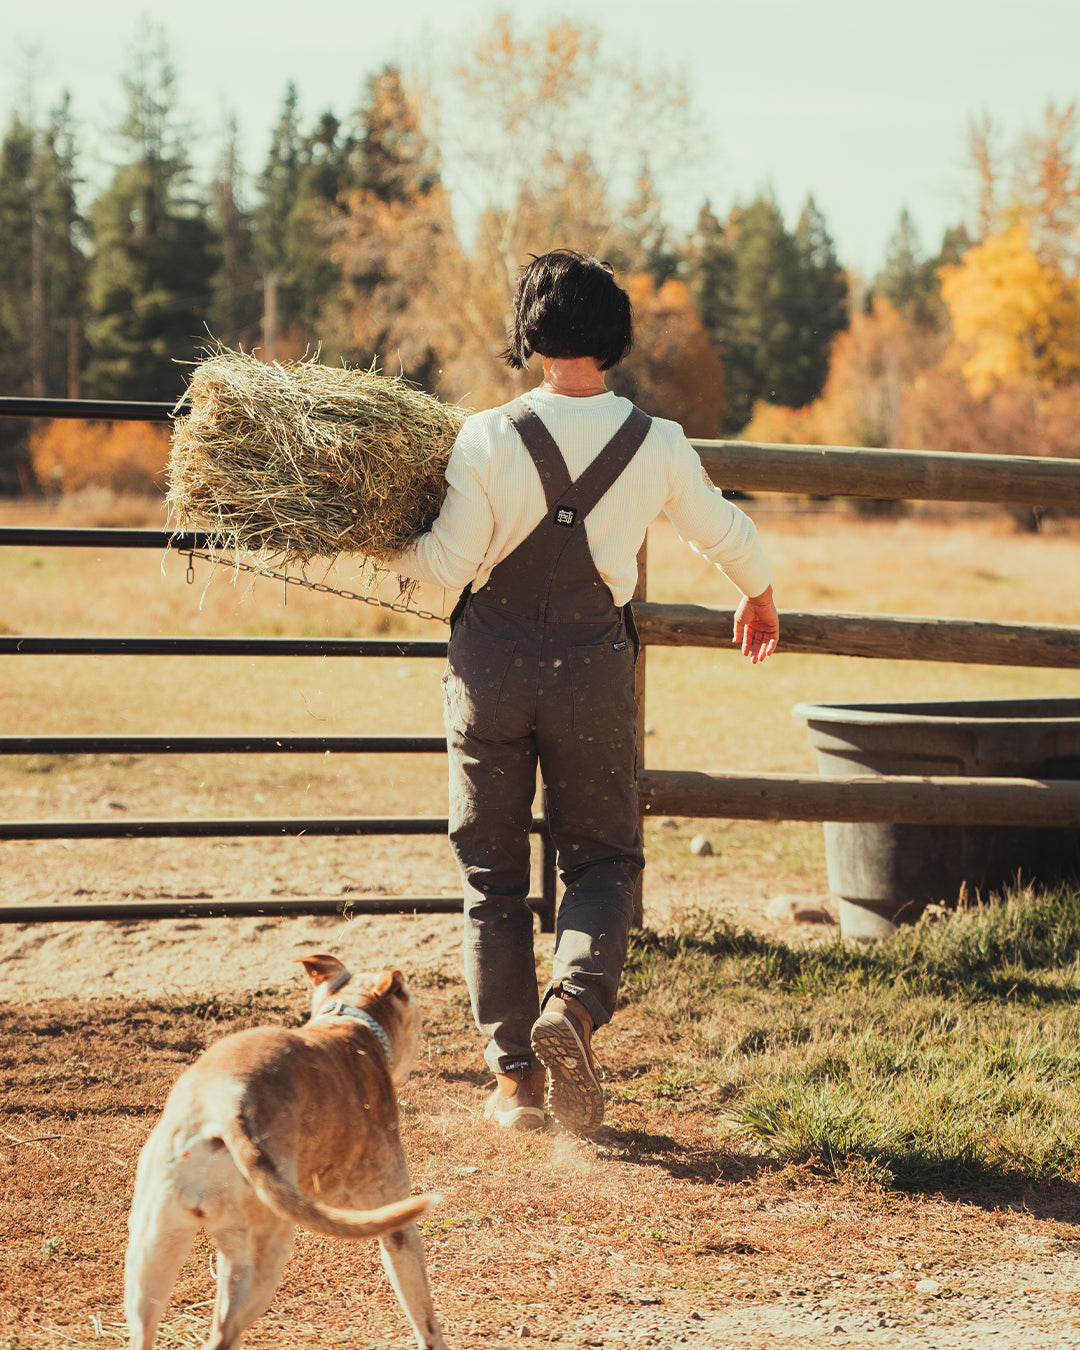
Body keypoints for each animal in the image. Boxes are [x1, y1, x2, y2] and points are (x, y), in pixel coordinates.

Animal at [124, 950, 448, 1350]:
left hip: (151, 1252)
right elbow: (425, 1318)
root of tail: (222, 1101)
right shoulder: (398, 1227)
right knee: (222, 1333)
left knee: (144, 1327)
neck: (350, 1021)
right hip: (258, 1260)